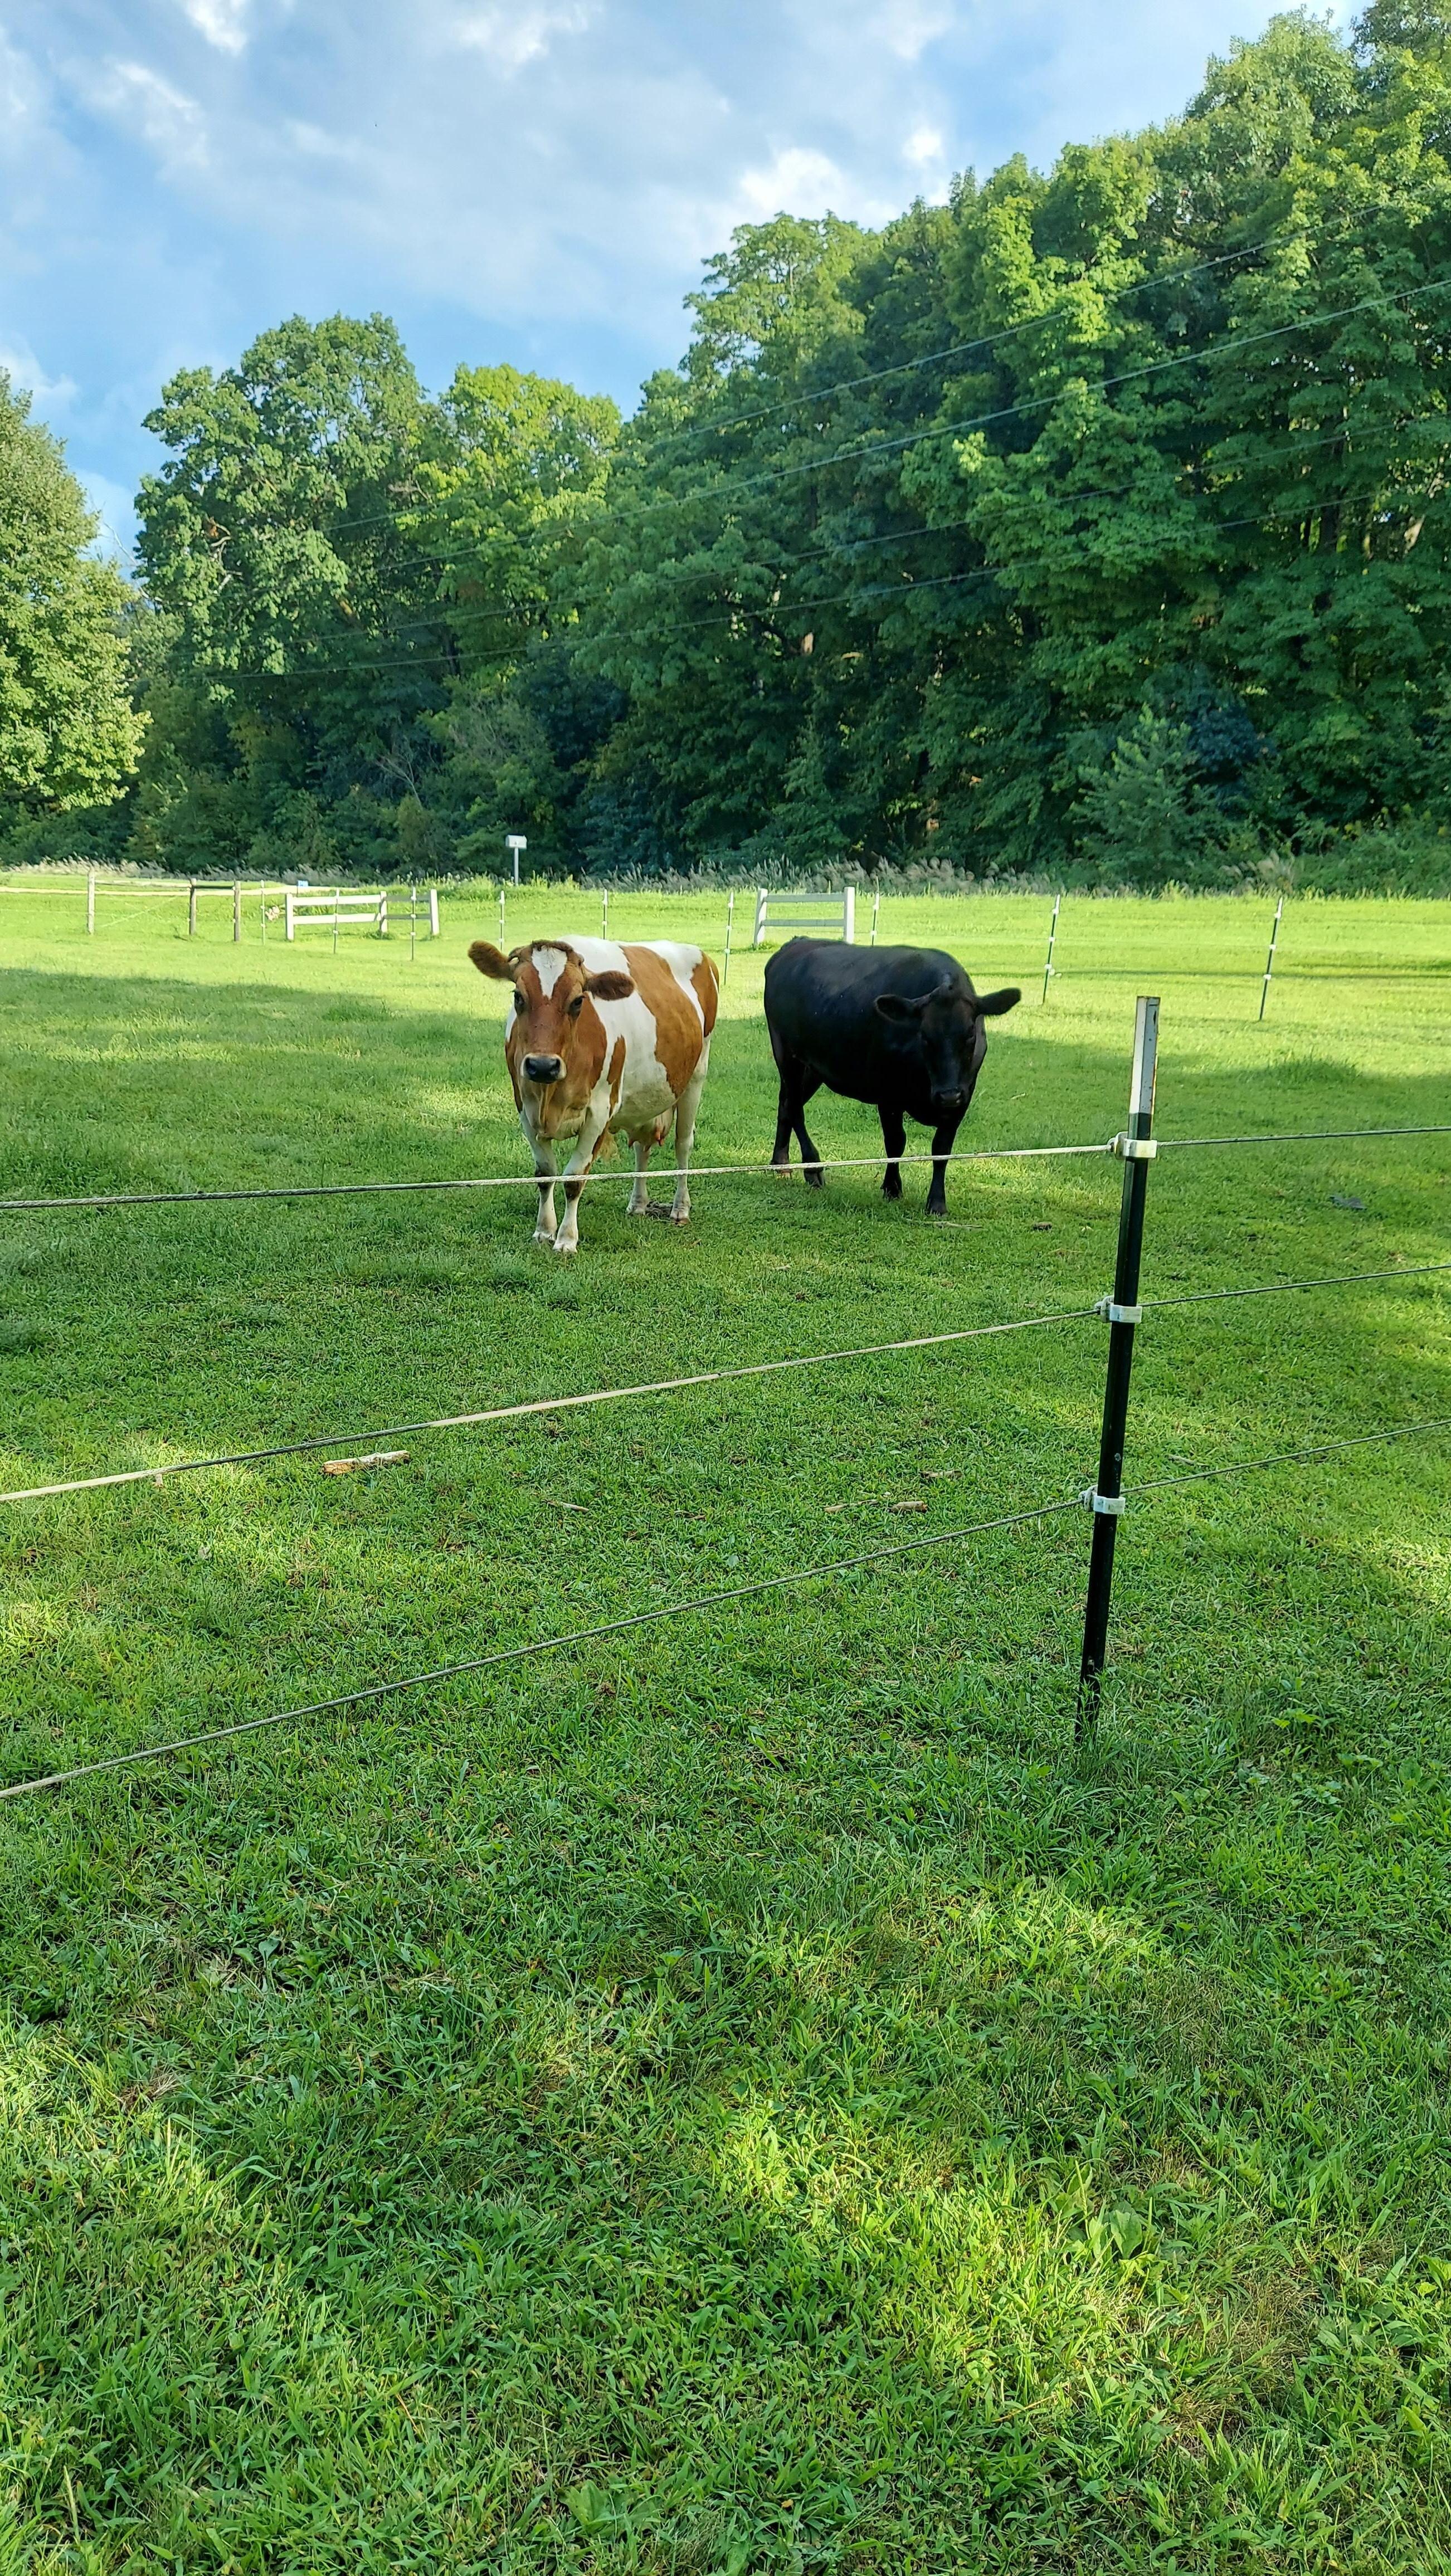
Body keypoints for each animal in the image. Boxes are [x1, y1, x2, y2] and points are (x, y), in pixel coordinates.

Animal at [469, 934, 719, 1255]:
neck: (551, 1095)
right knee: (643, 1148)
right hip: (645, 1098)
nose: (542, 1065)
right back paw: (638, 1204)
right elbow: (545, 1173)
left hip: (696, 1077)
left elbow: (574, 1179)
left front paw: (566, 1239)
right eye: (518, 996)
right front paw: (544, 1231)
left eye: (578, 1001)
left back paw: (680, 1208)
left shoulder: (600, 1112)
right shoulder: (525, 1109)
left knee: (683, 1145)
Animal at [764, 939, 1021, 1217]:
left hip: (813, 1067)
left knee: (786, 1105)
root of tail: (795, 944)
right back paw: (812, 1168)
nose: (948, 1094)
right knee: (795, 1108)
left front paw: (937, 1202)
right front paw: (892, 1187)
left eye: (971, 1034)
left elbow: (942, 1149)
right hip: (786, 1053)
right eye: (925, 1036)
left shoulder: (964, 1096)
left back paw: (780, 1164)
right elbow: (896, 1141)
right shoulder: (888, 1094)